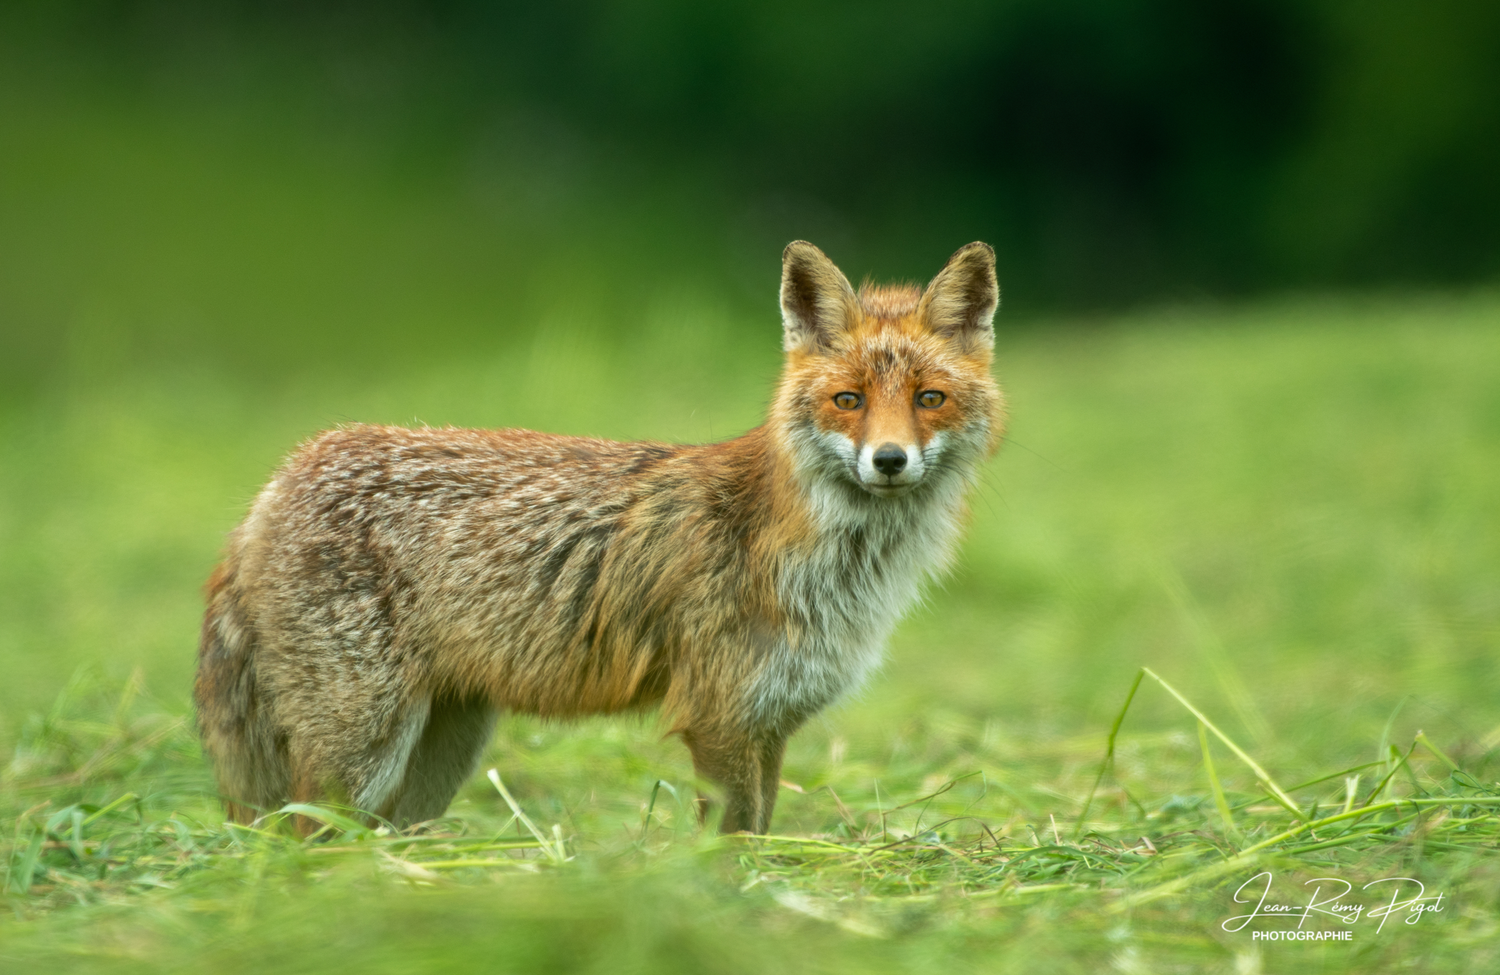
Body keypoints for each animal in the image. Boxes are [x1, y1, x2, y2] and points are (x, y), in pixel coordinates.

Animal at [194, 240, 1005, 835]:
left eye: (930, 399)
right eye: (849, 400)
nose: (889, 460)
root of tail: (279, 477)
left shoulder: (770, 719)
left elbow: (761, 828)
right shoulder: (719, 716)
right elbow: (732, 840)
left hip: (440, 749)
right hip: (361, 744)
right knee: (305, 839)